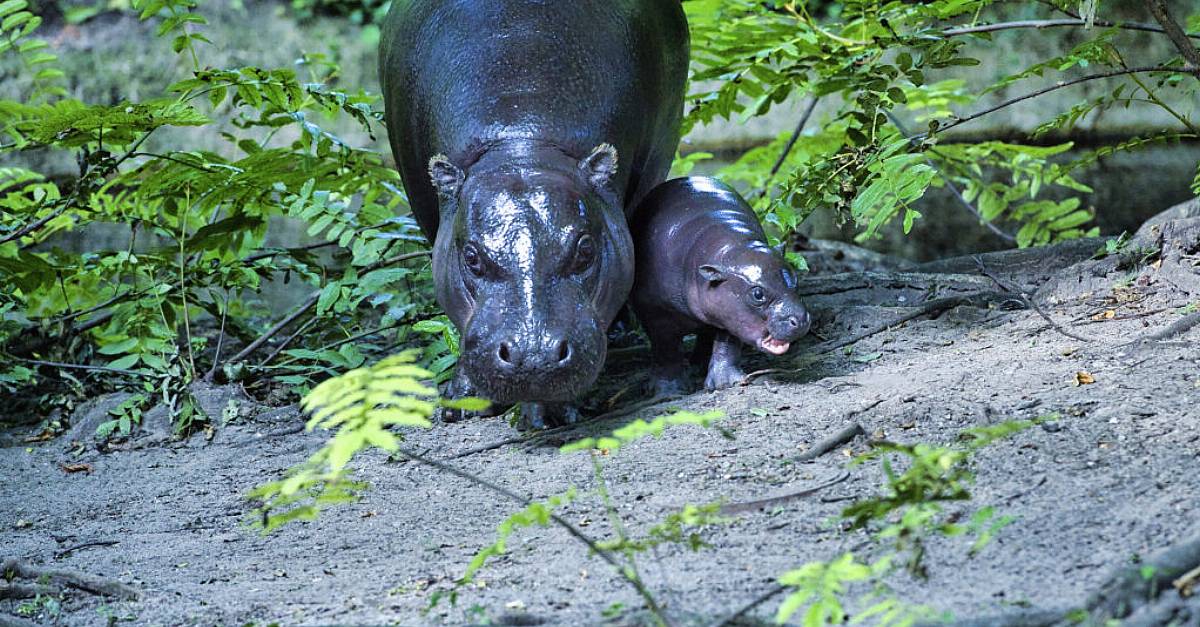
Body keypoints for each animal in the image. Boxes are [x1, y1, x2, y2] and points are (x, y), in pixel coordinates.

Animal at [379, 0, 691, 427]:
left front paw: (550, 413)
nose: (534, 357)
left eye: (586, 250)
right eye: (471, 258)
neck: (522, 143)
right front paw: (461, 402)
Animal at [628, 175, 816, 393]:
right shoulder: (655, 312)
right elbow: (665, 348)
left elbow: (727, 342)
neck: (729, 249)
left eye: (795, 278)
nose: (800, 319)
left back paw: (698, 367)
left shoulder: (730, 313)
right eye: (757, 294)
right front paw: (669, 391)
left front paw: (726, 383)